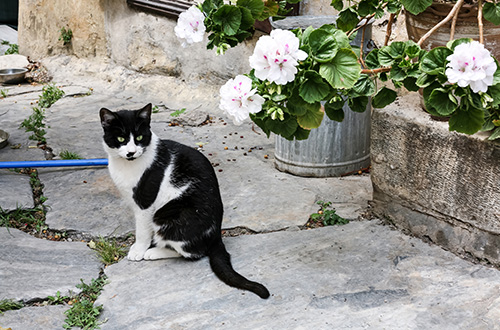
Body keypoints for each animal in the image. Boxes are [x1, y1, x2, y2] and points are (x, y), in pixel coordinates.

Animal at [98, 104, 270, 300]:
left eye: (140, 138)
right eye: (120, 138)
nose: (131, 152)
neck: (126, 165)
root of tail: (216, 236)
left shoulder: (145, 201)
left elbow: (142, 229)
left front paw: (138, 249)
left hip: (169, 216)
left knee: (192, 253)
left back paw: (154, 251)